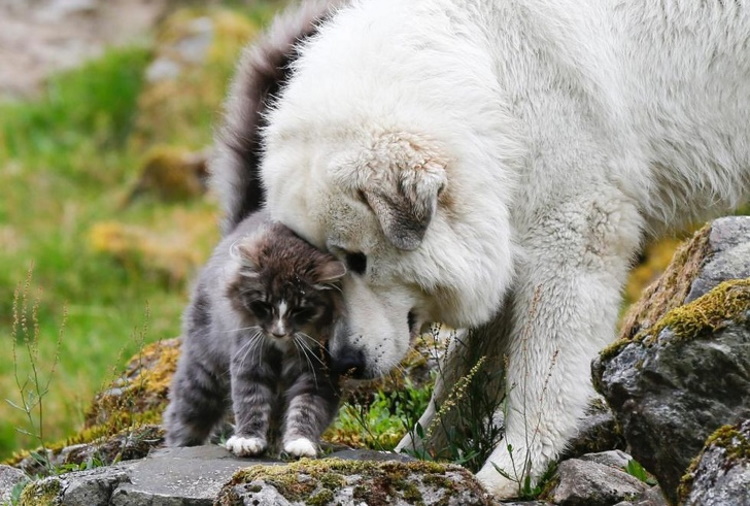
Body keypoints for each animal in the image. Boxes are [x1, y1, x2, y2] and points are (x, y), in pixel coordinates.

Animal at [164, 211, 346, 458]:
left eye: (299, 309)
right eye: (265, 305)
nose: (279, 332)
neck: (282, 348)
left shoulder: (318, 370)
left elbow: (307, 407)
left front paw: (300, 442)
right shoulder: (250, 357)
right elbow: (251, 400)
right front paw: (247, 440)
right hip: (203, 375)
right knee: (184, 416)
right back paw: (179, 447)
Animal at [214, 0, 750, 498]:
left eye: (358, 260)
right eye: (322, 276)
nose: (344, 361)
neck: (488, 72)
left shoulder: (573, 226)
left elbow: (540, 369)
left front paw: (509, 471)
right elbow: (465, 369)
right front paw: (422, 450)